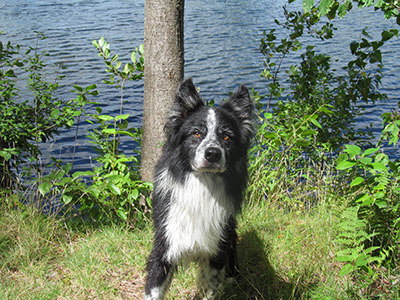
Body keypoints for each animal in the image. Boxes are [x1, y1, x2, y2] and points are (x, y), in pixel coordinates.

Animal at [145, 78, 253, 298]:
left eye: (227, 137)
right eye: (196, 133)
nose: (212, 153)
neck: (202, 186)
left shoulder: (216, 253)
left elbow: (210, 289)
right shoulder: (165, 244)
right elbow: (154, 289)